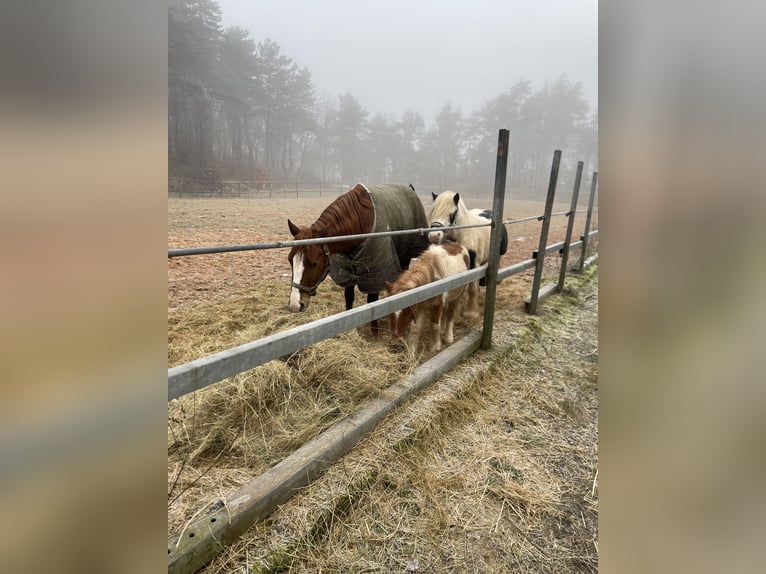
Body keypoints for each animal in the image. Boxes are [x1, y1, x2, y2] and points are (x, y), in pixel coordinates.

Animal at [288, 182, 432, 336]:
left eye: (313, 263)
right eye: (290, 260)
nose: (295, 304)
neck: (358, 222)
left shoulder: (375, 272)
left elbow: (372, 300)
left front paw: (374, 333)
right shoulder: (347, 271)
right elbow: (349, 296)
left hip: (405, 257)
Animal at [426, 192, 510, 320]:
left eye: (452, 214)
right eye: (433, 211)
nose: (434, 236)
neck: (461, 234)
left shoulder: (473, 264)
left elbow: (471, 288)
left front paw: (471, 312)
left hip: (499, 253)